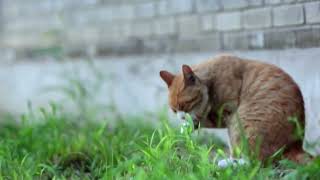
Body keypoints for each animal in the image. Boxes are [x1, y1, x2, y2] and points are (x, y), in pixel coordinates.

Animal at [161, 54, 306, 162]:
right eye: (174, 110)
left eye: (185, 105)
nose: (181, 117)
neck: (211, 84)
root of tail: (296, 146)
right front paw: (187, 126)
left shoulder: (228, 113)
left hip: (243, 122)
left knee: (254, 161)